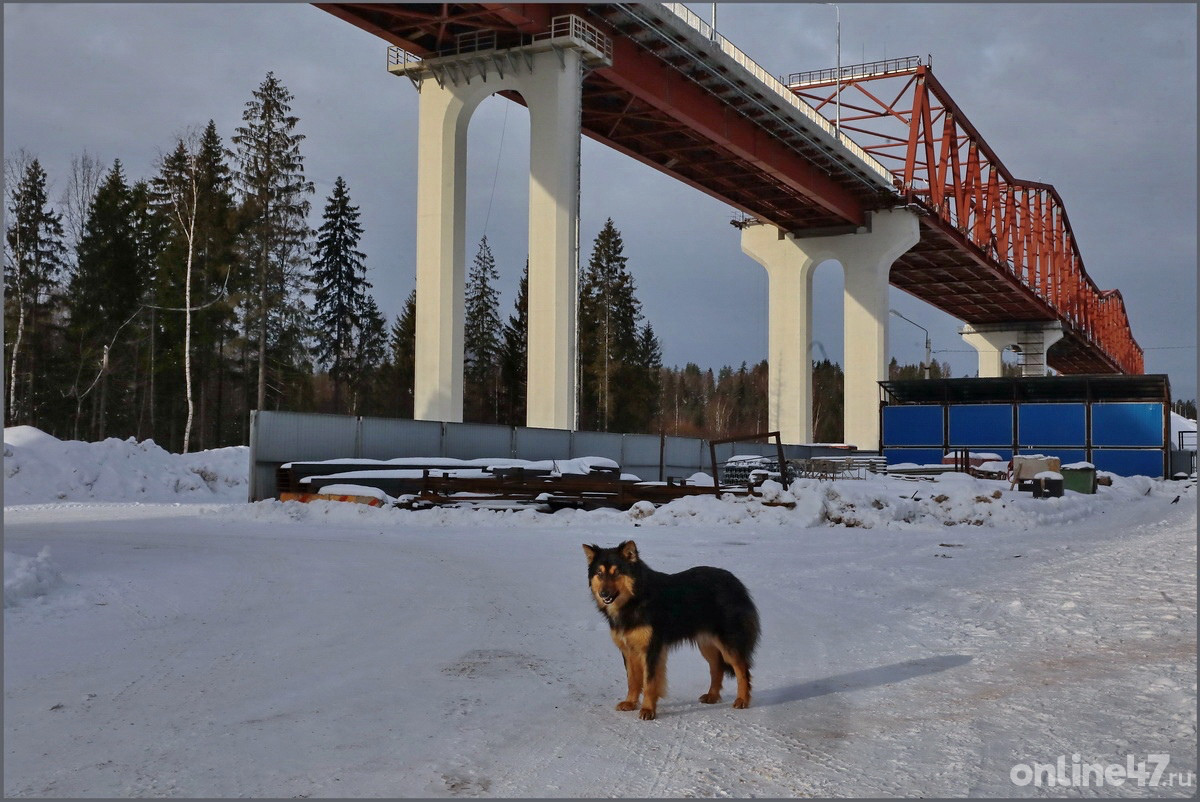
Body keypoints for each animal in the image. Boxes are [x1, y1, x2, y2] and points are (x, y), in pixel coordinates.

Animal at [580, 537, 758, 720]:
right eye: (599, 573)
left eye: (616, 573)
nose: (604, 594)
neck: (635, 598)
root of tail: (736, 582)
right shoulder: (629, 650)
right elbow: (633, 680)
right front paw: (630, 703)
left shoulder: (652, 649)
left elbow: (649, 682)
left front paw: (648, 710)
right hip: (707, 644)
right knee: (717, 669)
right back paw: (712, 696)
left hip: (728, 644)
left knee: (742, 670)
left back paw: (742, 699)